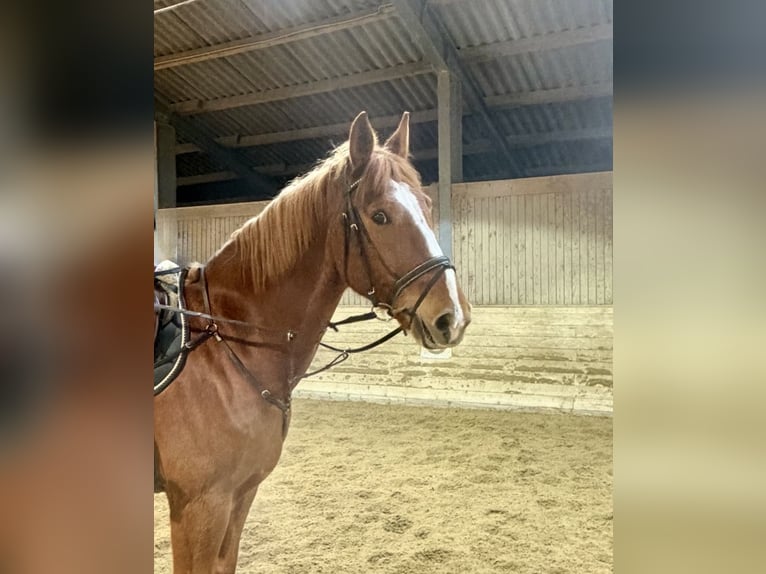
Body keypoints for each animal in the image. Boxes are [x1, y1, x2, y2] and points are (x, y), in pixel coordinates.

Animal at [154, 111, 471, 573]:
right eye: (379, 216)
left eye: (428, 206)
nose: (452, 317)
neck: (230, 343)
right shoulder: (198, 506)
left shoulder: (238, 497)